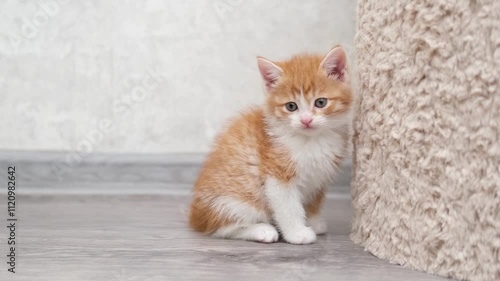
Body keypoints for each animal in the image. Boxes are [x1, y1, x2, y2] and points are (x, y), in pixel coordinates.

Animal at [188, 46, 352, 243]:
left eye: (321, 102)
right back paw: (262, 230)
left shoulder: (320, 176)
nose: (306, 120)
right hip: (237, 201)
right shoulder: (277, 173)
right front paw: (297, 233)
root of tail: (196, 216)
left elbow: (314, 199)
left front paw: (313, 221)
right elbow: (287, 206)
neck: (311, 140)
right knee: (221, 228)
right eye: (291, 106)